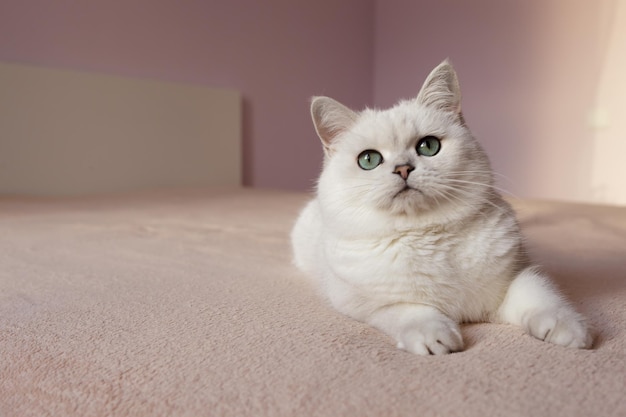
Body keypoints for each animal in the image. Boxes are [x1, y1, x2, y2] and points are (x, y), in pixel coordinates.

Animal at [288, 60, 588, 354]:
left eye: (428, 146)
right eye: (369, 159)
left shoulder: (516, 275)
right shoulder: (362, 302)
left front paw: (568, 328)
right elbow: (408, 309)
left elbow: (540, 295)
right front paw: (434, 336)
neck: (426, 234)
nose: (403, 168)